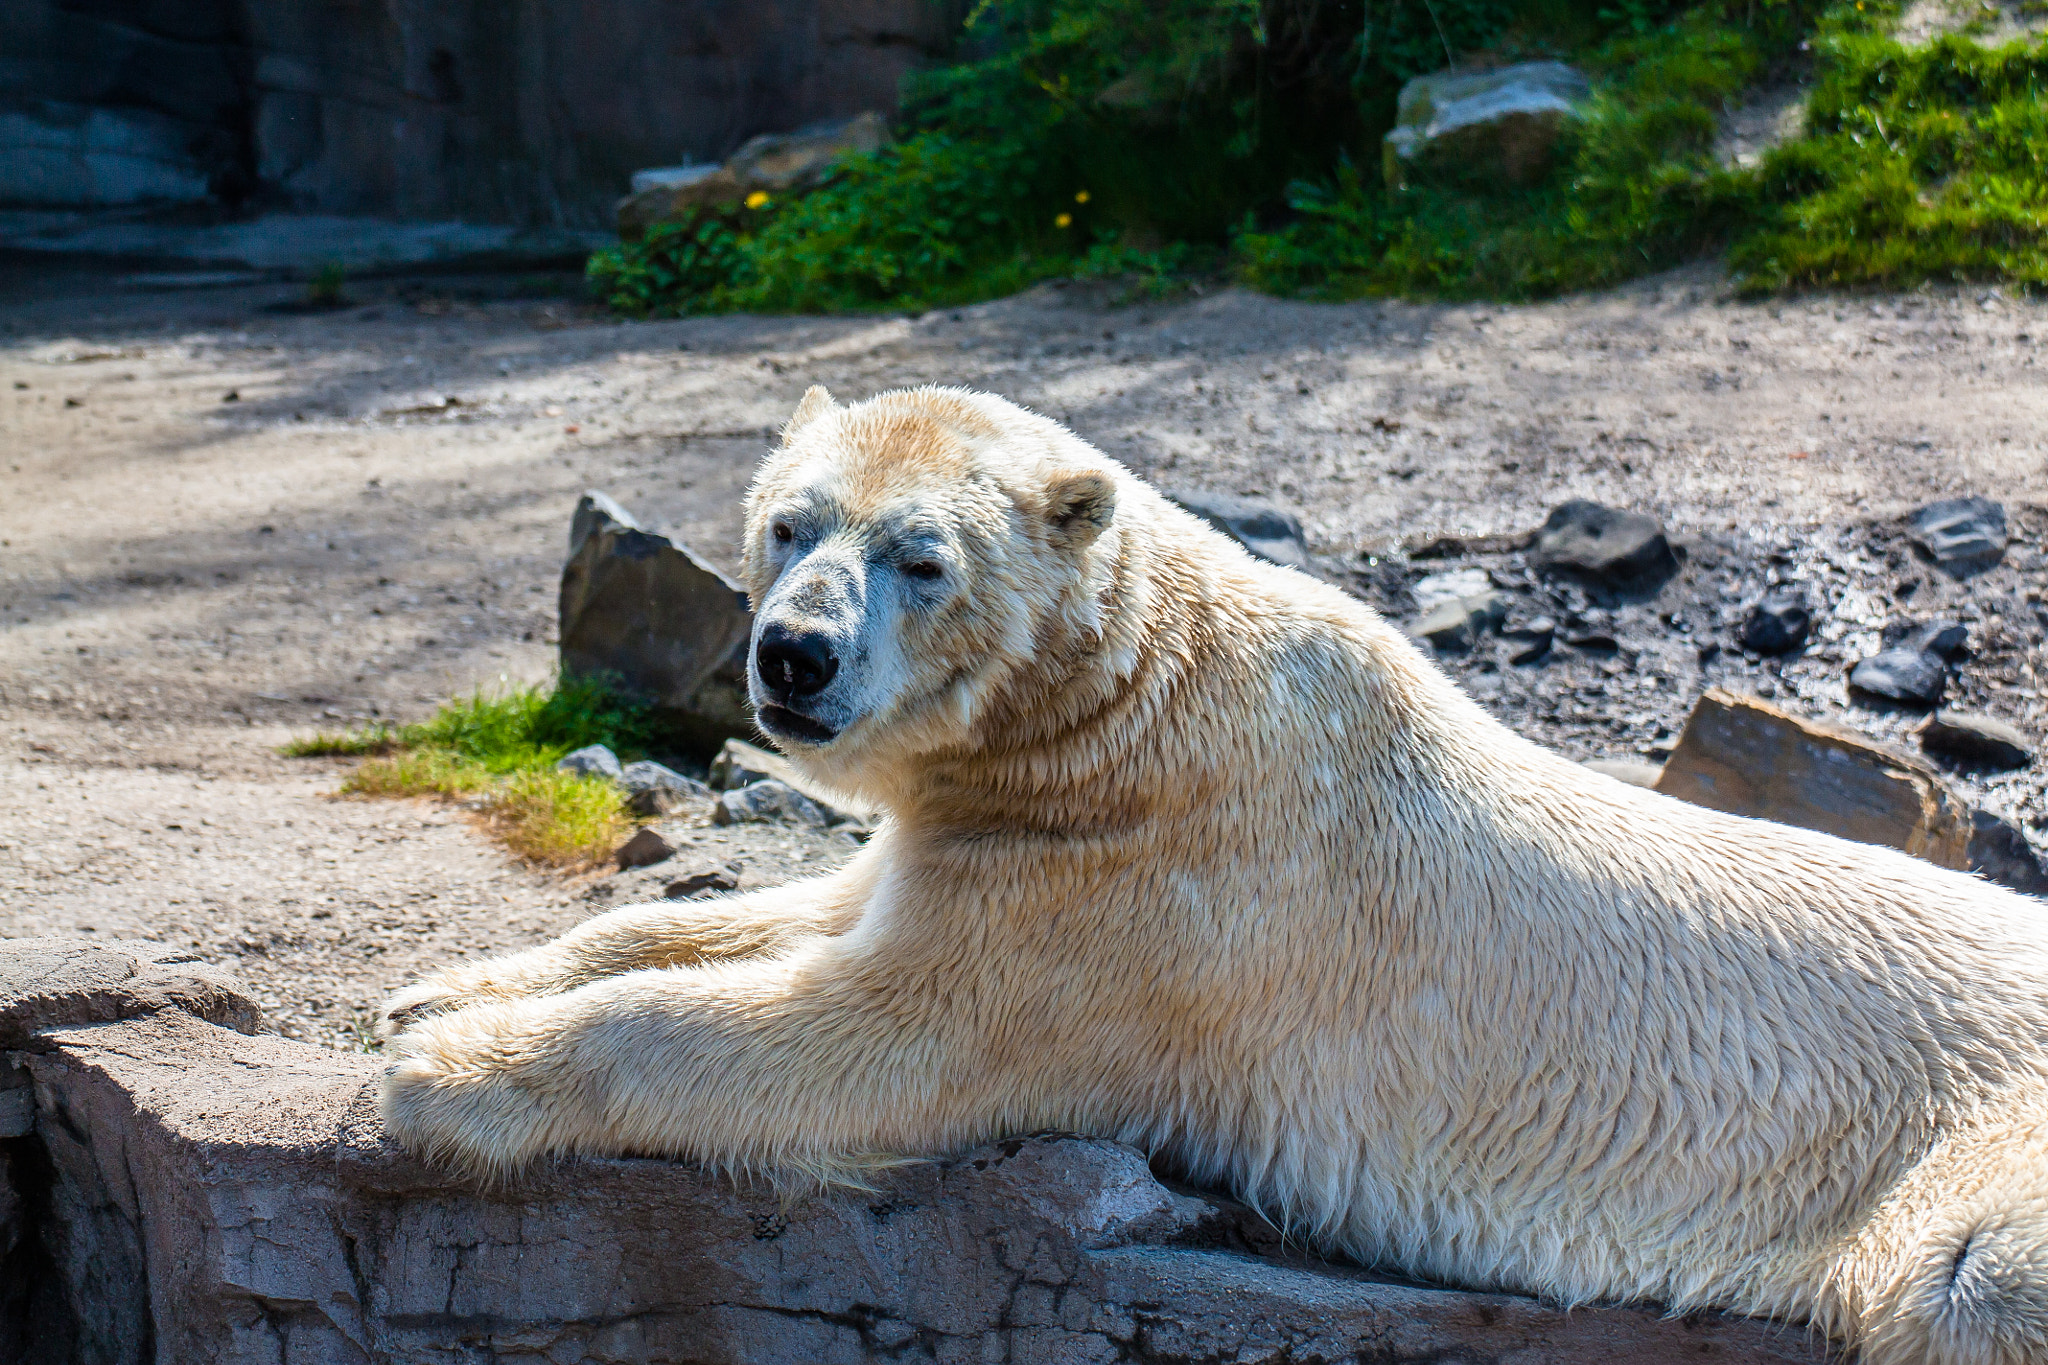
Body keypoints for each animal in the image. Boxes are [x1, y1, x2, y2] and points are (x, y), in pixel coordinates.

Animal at [381, 384, 2048, 1365]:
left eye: (922, 558)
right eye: (787, 521)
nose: (790, 655)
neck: (1129, 710)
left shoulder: (1151, 900)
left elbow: (881, 1033)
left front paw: (452, 1075)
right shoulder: (1005, 828)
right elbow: (794, 915)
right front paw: (434, 991)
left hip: (1977, 1161)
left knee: (1980, 1280)